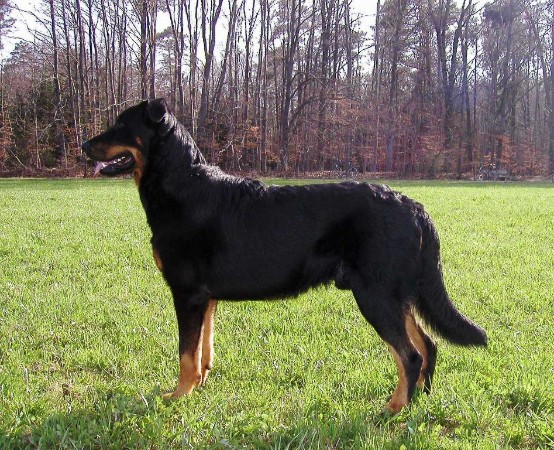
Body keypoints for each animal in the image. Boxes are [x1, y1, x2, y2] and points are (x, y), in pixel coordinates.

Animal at [82, 99, 484, 414]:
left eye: (121, 125)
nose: (84, 145)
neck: (181, 186)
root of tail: (414, 207)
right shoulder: (205, 297)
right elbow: (202, 351)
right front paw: (198, 386)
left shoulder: (187, 293)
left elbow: (185, 353)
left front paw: (178, 395)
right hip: (396, 295)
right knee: (427, 346)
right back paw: (418, 400)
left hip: (376, 296)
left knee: (410, 355)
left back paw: (395, 408)